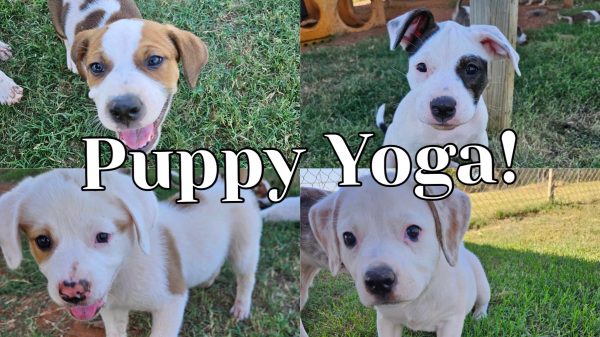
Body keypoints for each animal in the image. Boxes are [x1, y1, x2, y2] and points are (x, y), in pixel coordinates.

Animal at [0, 169, 262, 336]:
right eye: (42, 241)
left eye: (103, 236)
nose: (72, 293)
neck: (125, 269)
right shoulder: (111, 309)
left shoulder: (172, 303)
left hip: (244, 246)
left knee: (246, 277)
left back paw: (242, 307)